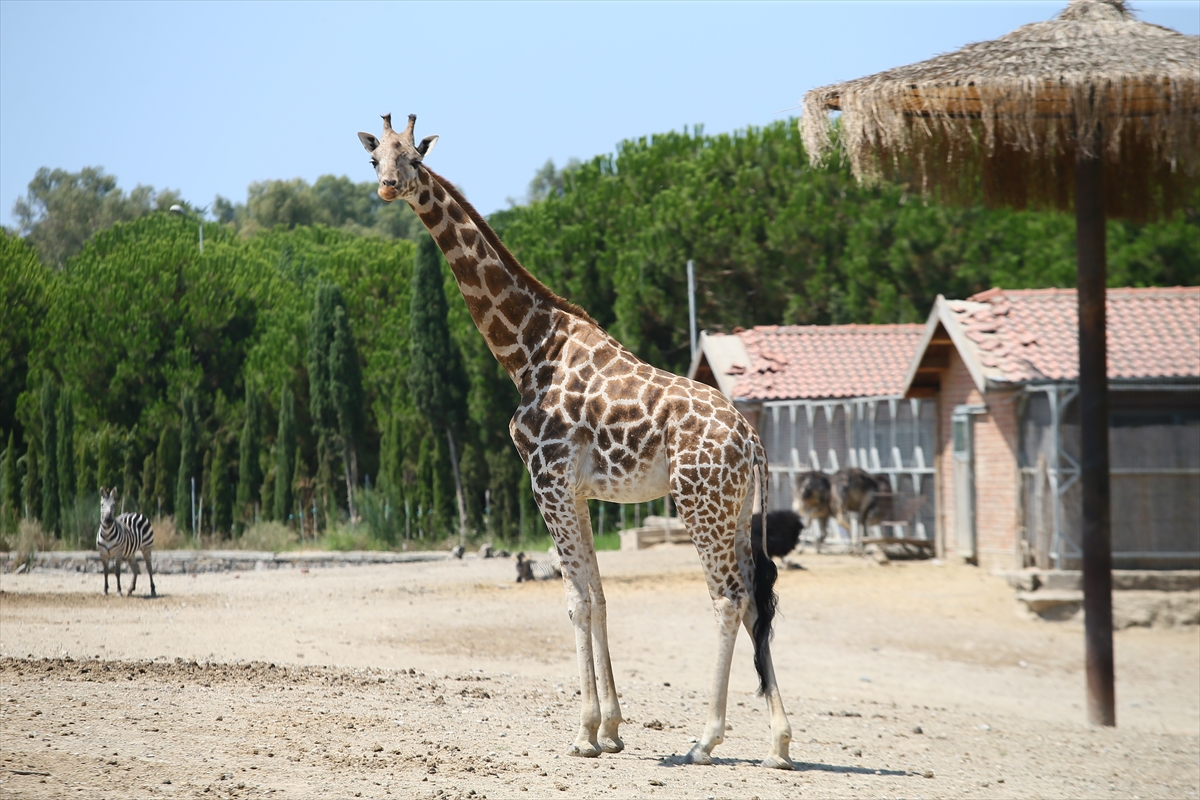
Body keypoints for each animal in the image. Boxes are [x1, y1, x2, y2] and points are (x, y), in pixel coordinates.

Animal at [355, 113, 792, 767]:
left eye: (413, 157)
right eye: (375, 156)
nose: (387, 187)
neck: (526, 350)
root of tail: (751, 440)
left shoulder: (548, 479)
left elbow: (576, 601)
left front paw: (585, 732)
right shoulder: (578, 491)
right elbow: (601, 595)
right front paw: (612, 728)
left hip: (700, 504)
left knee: (727, 598)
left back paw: (705, 740)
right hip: (736, 511)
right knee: (757, 600)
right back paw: (779, 743)